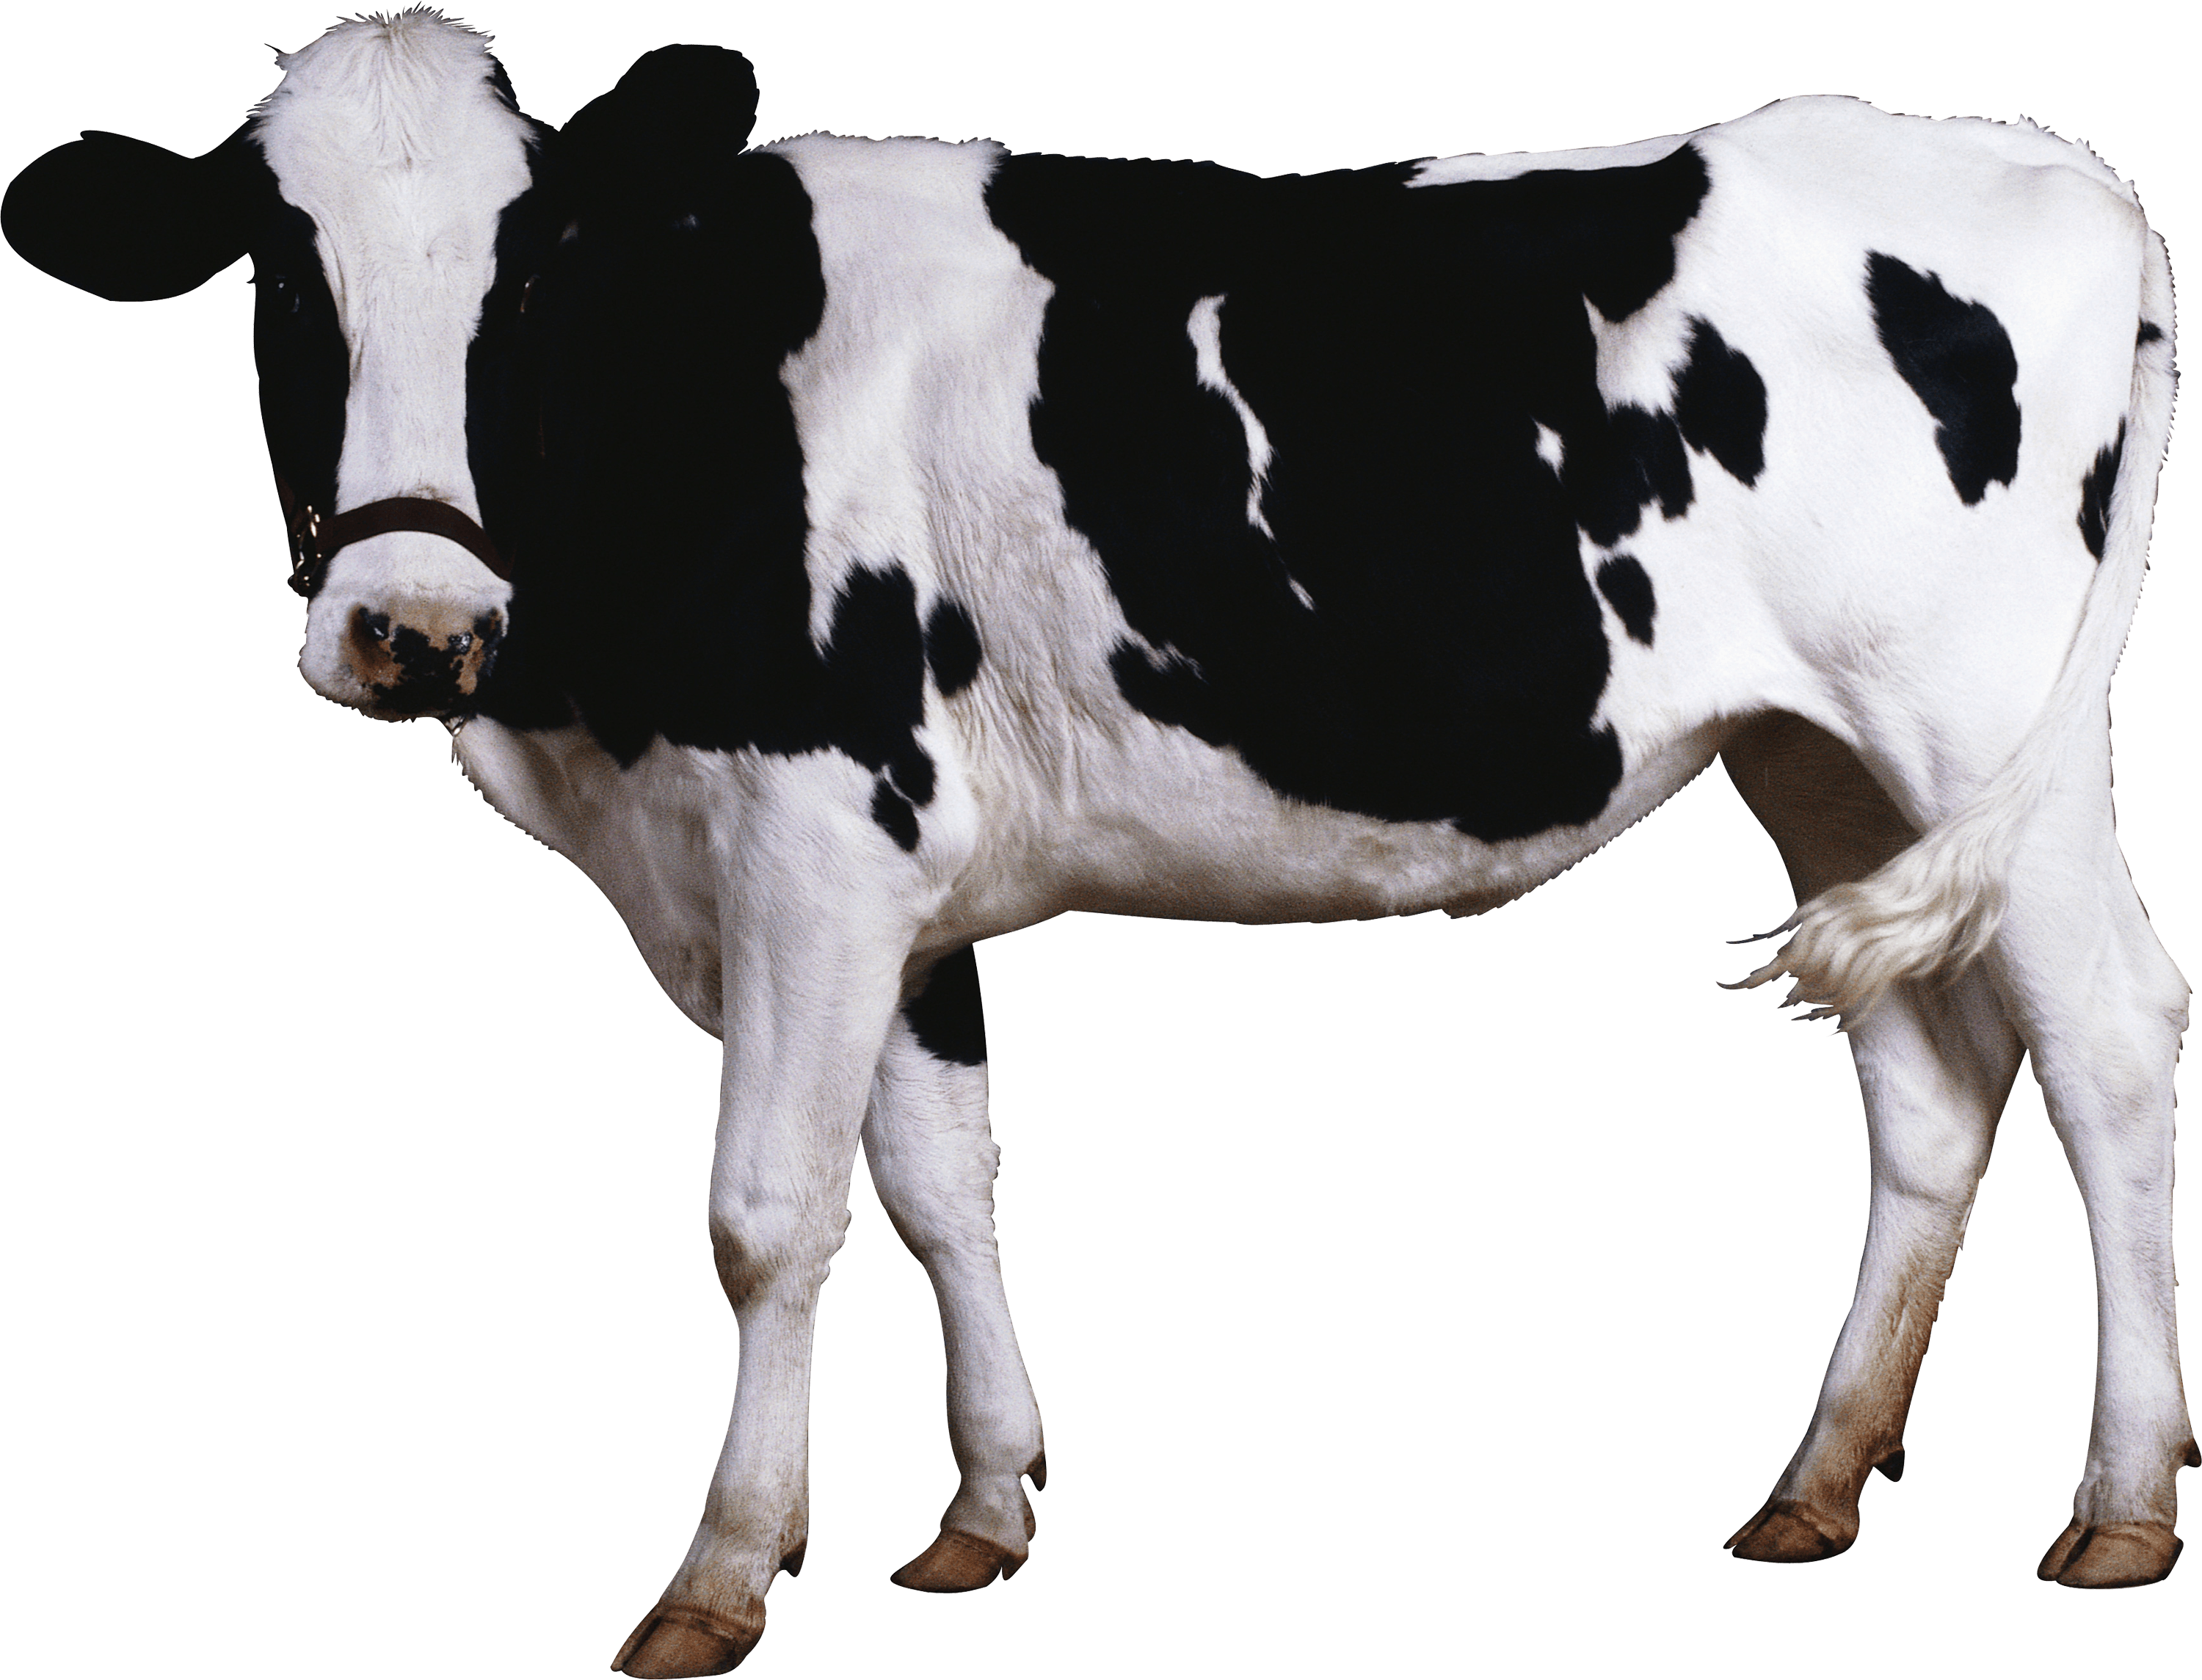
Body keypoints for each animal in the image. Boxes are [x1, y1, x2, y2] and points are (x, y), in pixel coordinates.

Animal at [5, 11, 2192, 1675]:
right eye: (280, 273)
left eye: (529, 270)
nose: (414, 627)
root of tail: (2038, 158)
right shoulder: (896, 881)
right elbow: (936, 1180)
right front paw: (978, 1508)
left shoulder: (812, 840)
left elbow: (767, 1216)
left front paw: (718, 1575)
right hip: (1816, 755)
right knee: (1931, 1074)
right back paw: (1816, 1480)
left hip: (1980, 722)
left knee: (2105, 1032)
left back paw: (2118, 1503)